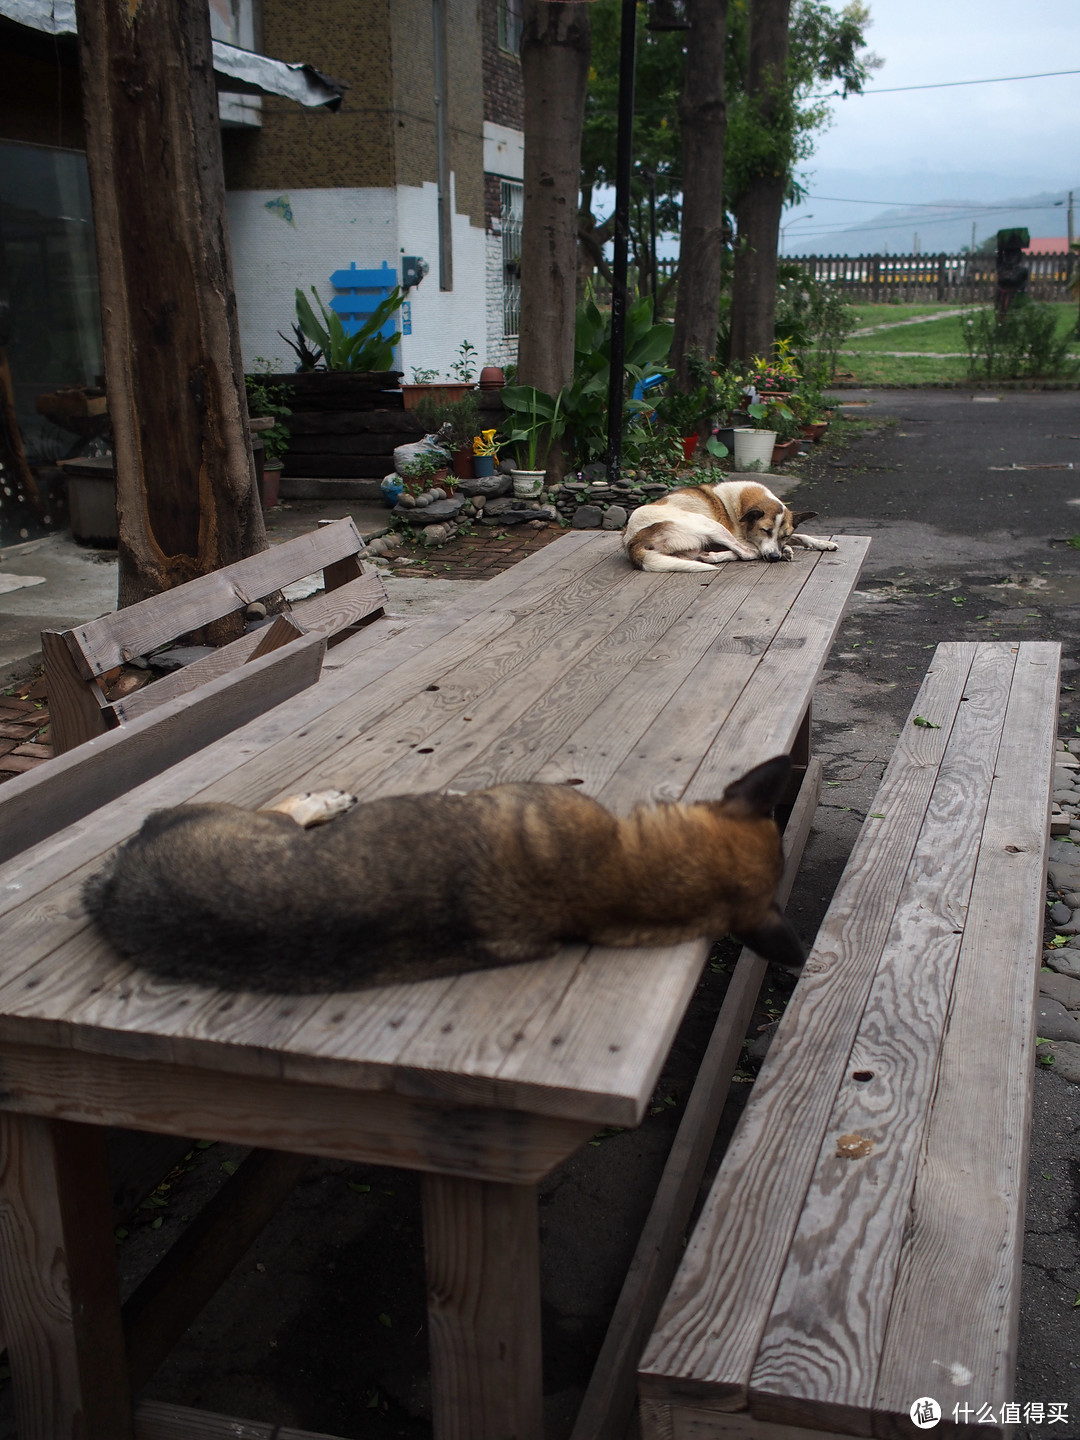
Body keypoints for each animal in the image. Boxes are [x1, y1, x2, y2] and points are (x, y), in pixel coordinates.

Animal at [622, 483, 840, 573]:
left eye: (784, 535)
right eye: (765, 530)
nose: (774, 557)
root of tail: (633, 541)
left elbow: (801, 535)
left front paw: (822, 543)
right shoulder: (748, 539)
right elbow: (753, 549)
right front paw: (786, 550)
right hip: (711, 525)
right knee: (746, 554)